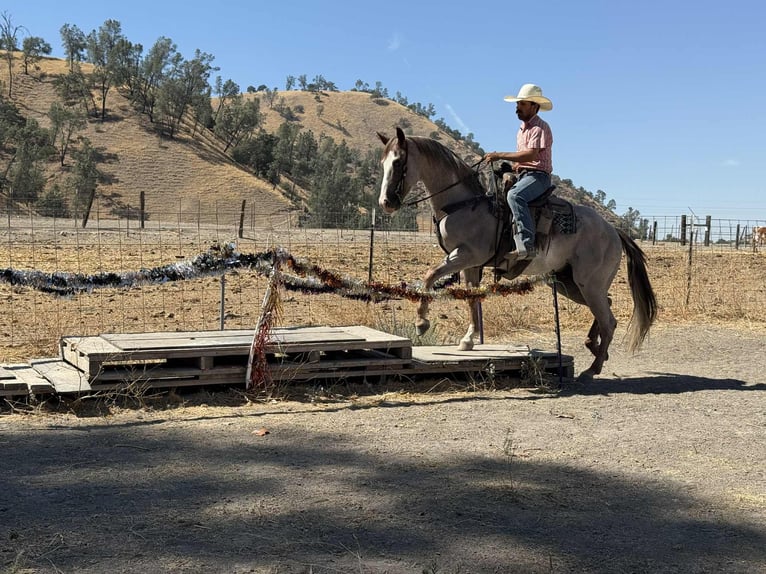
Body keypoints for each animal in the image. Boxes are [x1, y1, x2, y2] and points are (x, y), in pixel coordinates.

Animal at [376, 127, 657, 380]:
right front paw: (468, 340)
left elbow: (429, 275)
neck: (464, 205)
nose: (386, 203)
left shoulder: (466, 255)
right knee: (605, 309)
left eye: (398, 161)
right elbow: (471, 299)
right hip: (570, 283)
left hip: (589, 283)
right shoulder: (470, 265)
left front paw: (421, 324)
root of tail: (613, 230)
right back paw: (596, 349)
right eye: (382, 163)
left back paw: (592, 368)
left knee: (609, 321)